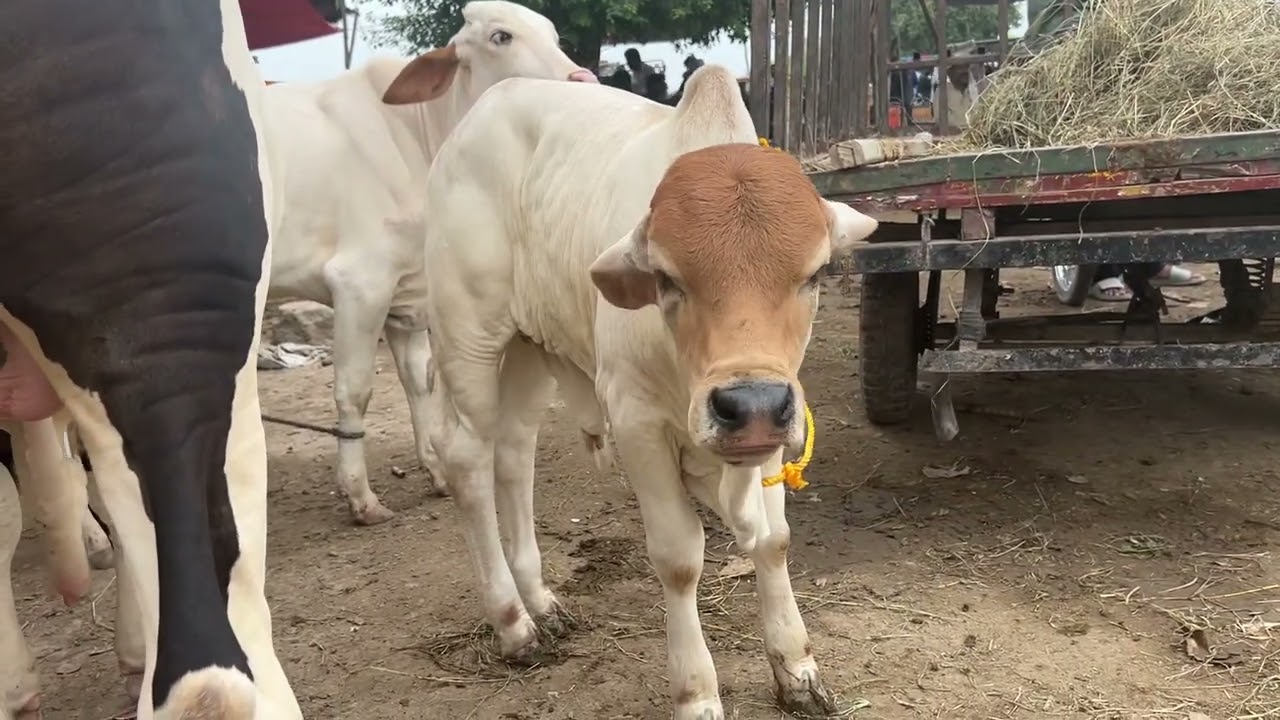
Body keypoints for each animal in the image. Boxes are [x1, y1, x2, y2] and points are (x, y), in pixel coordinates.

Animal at [263, 0, 598, 525]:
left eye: (554, 35)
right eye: (501, 36)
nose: (582, 78)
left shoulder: (407, 292)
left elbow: (417, 381)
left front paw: (437, 471)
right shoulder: (361, 282)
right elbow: (354, 389)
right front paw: (361, 497)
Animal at [390, 65, 878, 719]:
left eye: (817, 272)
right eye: (667, 279)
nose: (747, 407)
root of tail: (485, 105)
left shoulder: (778, 422)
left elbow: (773, 540)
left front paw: (796, 666)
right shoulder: (637, 422)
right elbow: (679, 559)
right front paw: (696, 692)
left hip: (528, 348)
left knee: (514, 454)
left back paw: (541, 601)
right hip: (469, 337)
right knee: (468, 458)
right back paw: (513, 623)